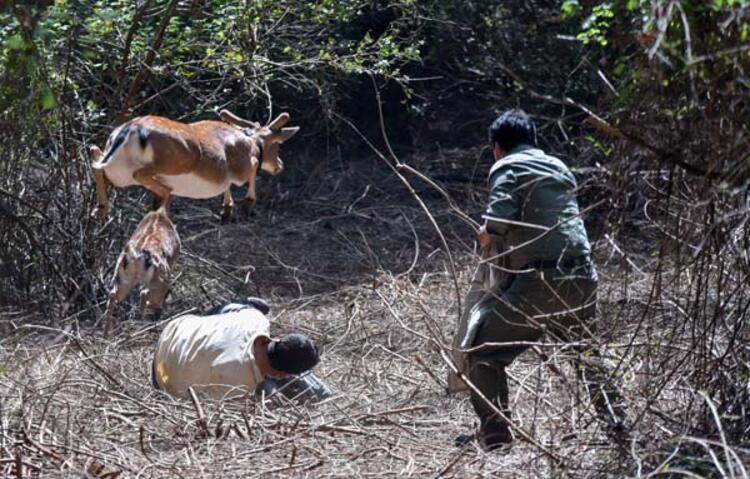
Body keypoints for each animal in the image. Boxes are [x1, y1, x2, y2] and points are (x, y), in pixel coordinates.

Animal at [89, 109, 298, 222]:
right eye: (277, 144)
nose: (280, 165)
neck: (252, 141)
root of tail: (131, 130)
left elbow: (226, 185)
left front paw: (227, 212)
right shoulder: (242, 168)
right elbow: (251, 170)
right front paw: (245, 207)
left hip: (118, 170)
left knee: (96, 159)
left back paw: (101, 210)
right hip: (180, 159)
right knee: (139, 173)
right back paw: (165, 192)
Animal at [103, 203, 181, 338]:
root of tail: (136, 256)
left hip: (123, 277)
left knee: (113, 295)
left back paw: (107, 333)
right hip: (159, 279)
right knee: (145, 293)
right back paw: (144, 324)